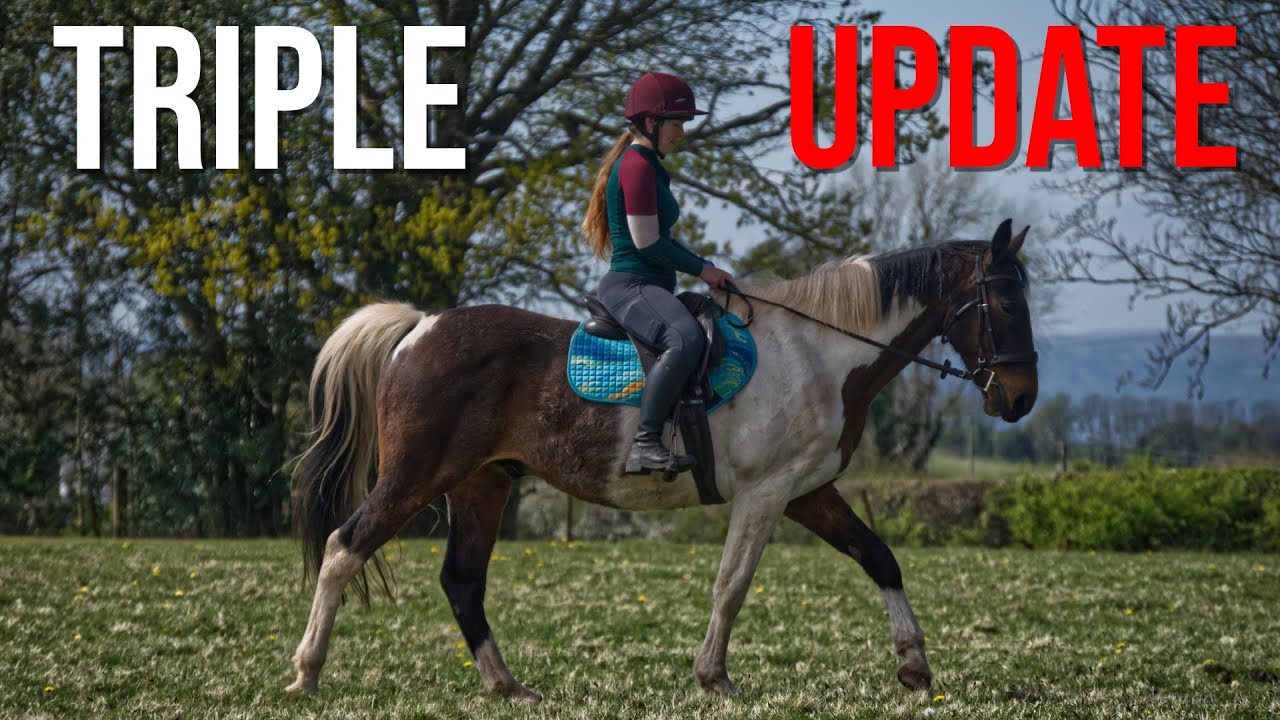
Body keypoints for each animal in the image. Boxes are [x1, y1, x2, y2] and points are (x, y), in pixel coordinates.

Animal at [284, 219, 1039, 701]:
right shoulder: (766, 493)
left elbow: (881, 558)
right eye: (1005, 300)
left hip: (481, 486)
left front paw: (914, 666)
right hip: (417, 476)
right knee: (344, 547)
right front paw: (714, 678)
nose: (1021, 398)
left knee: (462, 583)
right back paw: (307, 672)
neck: (820, 354)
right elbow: (731, 585)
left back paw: (506, 686)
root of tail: (420, 328)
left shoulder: (806, 491)